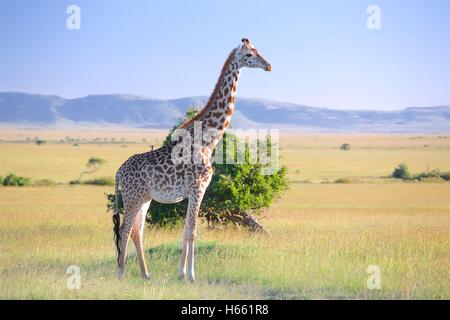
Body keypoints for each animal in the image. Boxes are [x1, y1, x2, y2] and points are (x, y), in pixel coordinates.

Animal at [114, 38, 272, 282]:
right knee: (124, 228)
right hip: (132, 197)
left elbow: (186, 230)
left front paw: (181, 273)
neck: (208, 141)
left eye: (257, 50)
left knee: (136, 231)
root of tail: (118, 172)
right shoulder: (198, 188)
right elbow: (193, 231)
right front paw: (191, 275)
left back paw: (145, 273)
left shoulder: (193, 192)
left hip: (144, 198)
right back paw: (121, 273)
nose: (268, 66)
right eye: (248, 54)